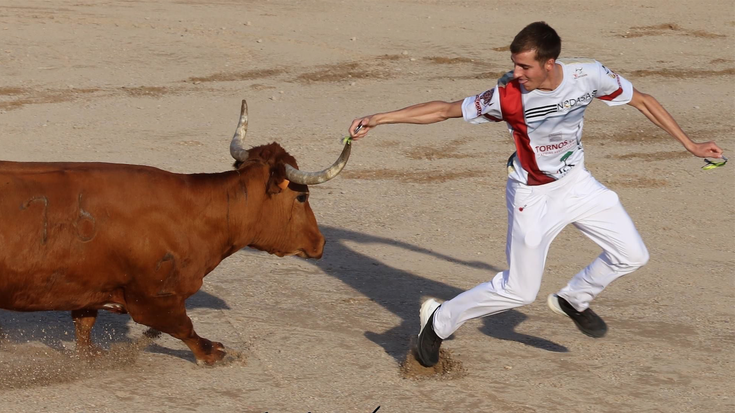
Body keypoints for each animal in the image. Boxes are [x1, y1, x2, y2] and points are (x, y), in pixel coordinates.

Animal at [0, 100, 352, 364]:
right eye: (302, 197)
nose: (320, 242)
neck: (193, 214)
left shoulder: (90, 287)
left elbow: (84, 326)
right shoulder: (153, 297)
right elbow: (184, 326)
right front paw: (215, 353)